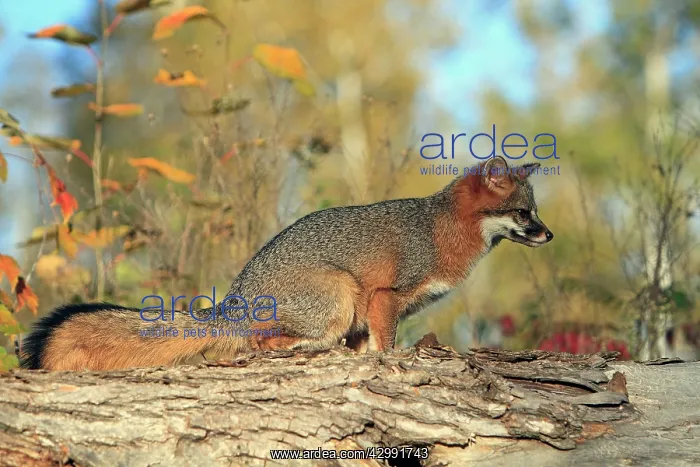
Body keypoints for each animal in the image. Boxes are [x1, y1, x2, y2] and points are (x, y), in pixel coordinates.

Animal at [19, 155, 553, 371]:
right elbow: (384, 346)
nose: (549, 234)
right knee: (269, 343)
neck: (440, 229)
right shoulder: (383, 297)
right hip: (338, 295)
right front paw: (392, 361)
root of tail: (233, 302)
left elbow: (368, 345)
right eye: (524, 214)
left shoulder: (379, 311)